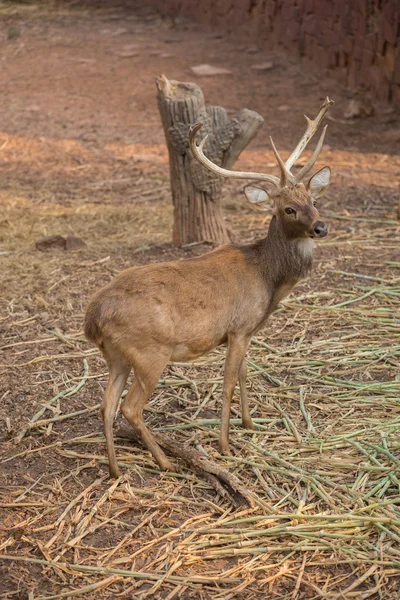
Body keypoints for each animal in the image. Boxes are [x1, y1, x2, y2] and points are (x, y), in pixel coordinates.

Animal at [85, 96, 334, 478]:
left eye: (315, 201)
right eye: (289, 209)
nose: (320, 227)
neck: (267, 278)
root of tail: (92, 319)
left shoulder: (245, 332)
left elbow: (245, 374)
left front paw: (249, 424)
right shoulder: (239, 326)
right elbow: (229, 382)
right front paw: (226, 445)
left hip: (116, 356)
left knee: (106, 405)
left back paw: (115, 470)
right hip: (149, 352)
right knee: (130, 407)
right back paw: (165, 461)